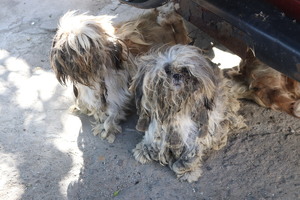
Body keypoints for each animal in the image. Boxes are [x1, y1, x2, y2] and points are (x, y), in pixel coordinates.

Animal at [49, 3, 190, 144]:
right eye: (67, 42)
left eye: (87, 42)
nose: (71, 54)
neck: (91, 74)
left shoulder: (115, 94)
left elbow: (111, 114)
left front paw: (105, 128)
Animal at [130, 44, 245, 182]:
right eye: (167, 71)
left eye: (185, 71)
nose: (177, 75)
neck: (175, 110)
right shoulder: (157, 125)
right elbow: (153, 137)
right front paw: (145, 149)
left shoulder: (194, 133)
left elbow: (190, 154)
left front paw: (187, 171)